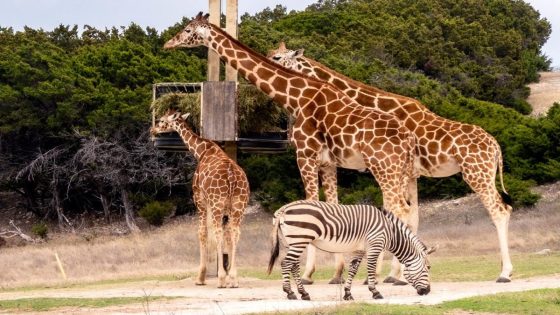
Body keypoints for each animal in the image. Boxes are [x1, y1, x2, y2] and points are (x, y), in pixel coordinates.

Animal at [150, 109, 248, 288]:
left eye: (161, 120)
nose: (152, 130)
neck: (201, 151)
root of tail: (232, 176)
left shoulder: (200, 200)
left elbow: (202, 232)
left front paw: (200, 278)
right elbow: (224, 235)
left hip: (217, 203)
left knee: (218, 231)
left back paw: (221, 279)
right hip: (239, 205)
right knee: (235, 232)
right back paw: (233, 278)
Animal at [164, 12, 418, 286]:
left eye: (187, 29)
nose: (168, 43)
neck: (296, 99)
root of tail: (408, 139)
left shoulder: (305, 154)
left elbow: (313, 208)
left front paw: (306, 275)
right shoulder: (328, 162)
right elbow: (333, 207)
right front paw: (336, 273)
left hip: (383, 168)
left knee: (400, 209)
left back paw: (389, 274)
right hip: (399, 171)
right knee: (406, 210)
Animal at [270, 42, 516, 284]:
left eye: (277, 58)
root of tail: (496, 148)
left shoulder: (391, 169)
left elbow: (393, 214)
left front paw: (388, 274)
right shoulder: (410, 174)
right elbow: (411, 218)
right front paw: (397, 273)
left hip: (476, 173)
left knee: (500, 210)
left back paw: (505, 273)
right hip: (483, 174)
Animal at [270, 200, 436, 302]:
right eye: (428, 268)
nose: (427, 291)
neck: (390, 231)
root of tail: (283, 209)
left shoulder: (359, 250)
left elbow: (353, 270)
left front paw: (348, 294)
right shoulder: (374, 246)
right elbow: (371, 269)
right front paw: (375, 292)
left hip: (292, 242)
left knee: (294, 265)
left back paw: (304, 294)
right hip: (299, 240)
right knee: (286, 263)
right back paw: (290, 293)